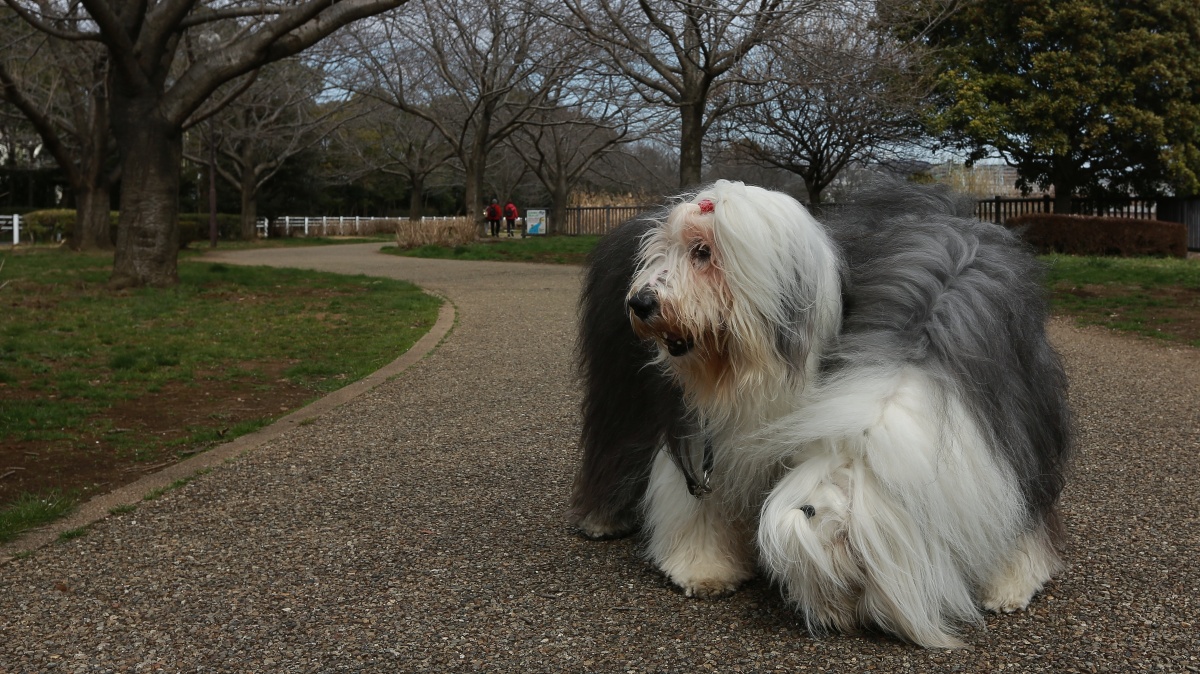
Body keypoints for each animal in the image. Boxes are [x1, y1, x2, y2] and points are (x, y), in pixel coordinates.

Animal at [570, 180, 1071, 648]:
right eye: (664, 251)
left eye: (702, 251)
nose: (642, 302)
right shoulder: (697, 432)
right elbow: (696, 501)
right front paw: (704, 568)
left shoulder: (1018, 429)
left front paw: (1011, 581)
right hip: (622, 386)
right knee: (614, 439)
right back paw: (602, 519)